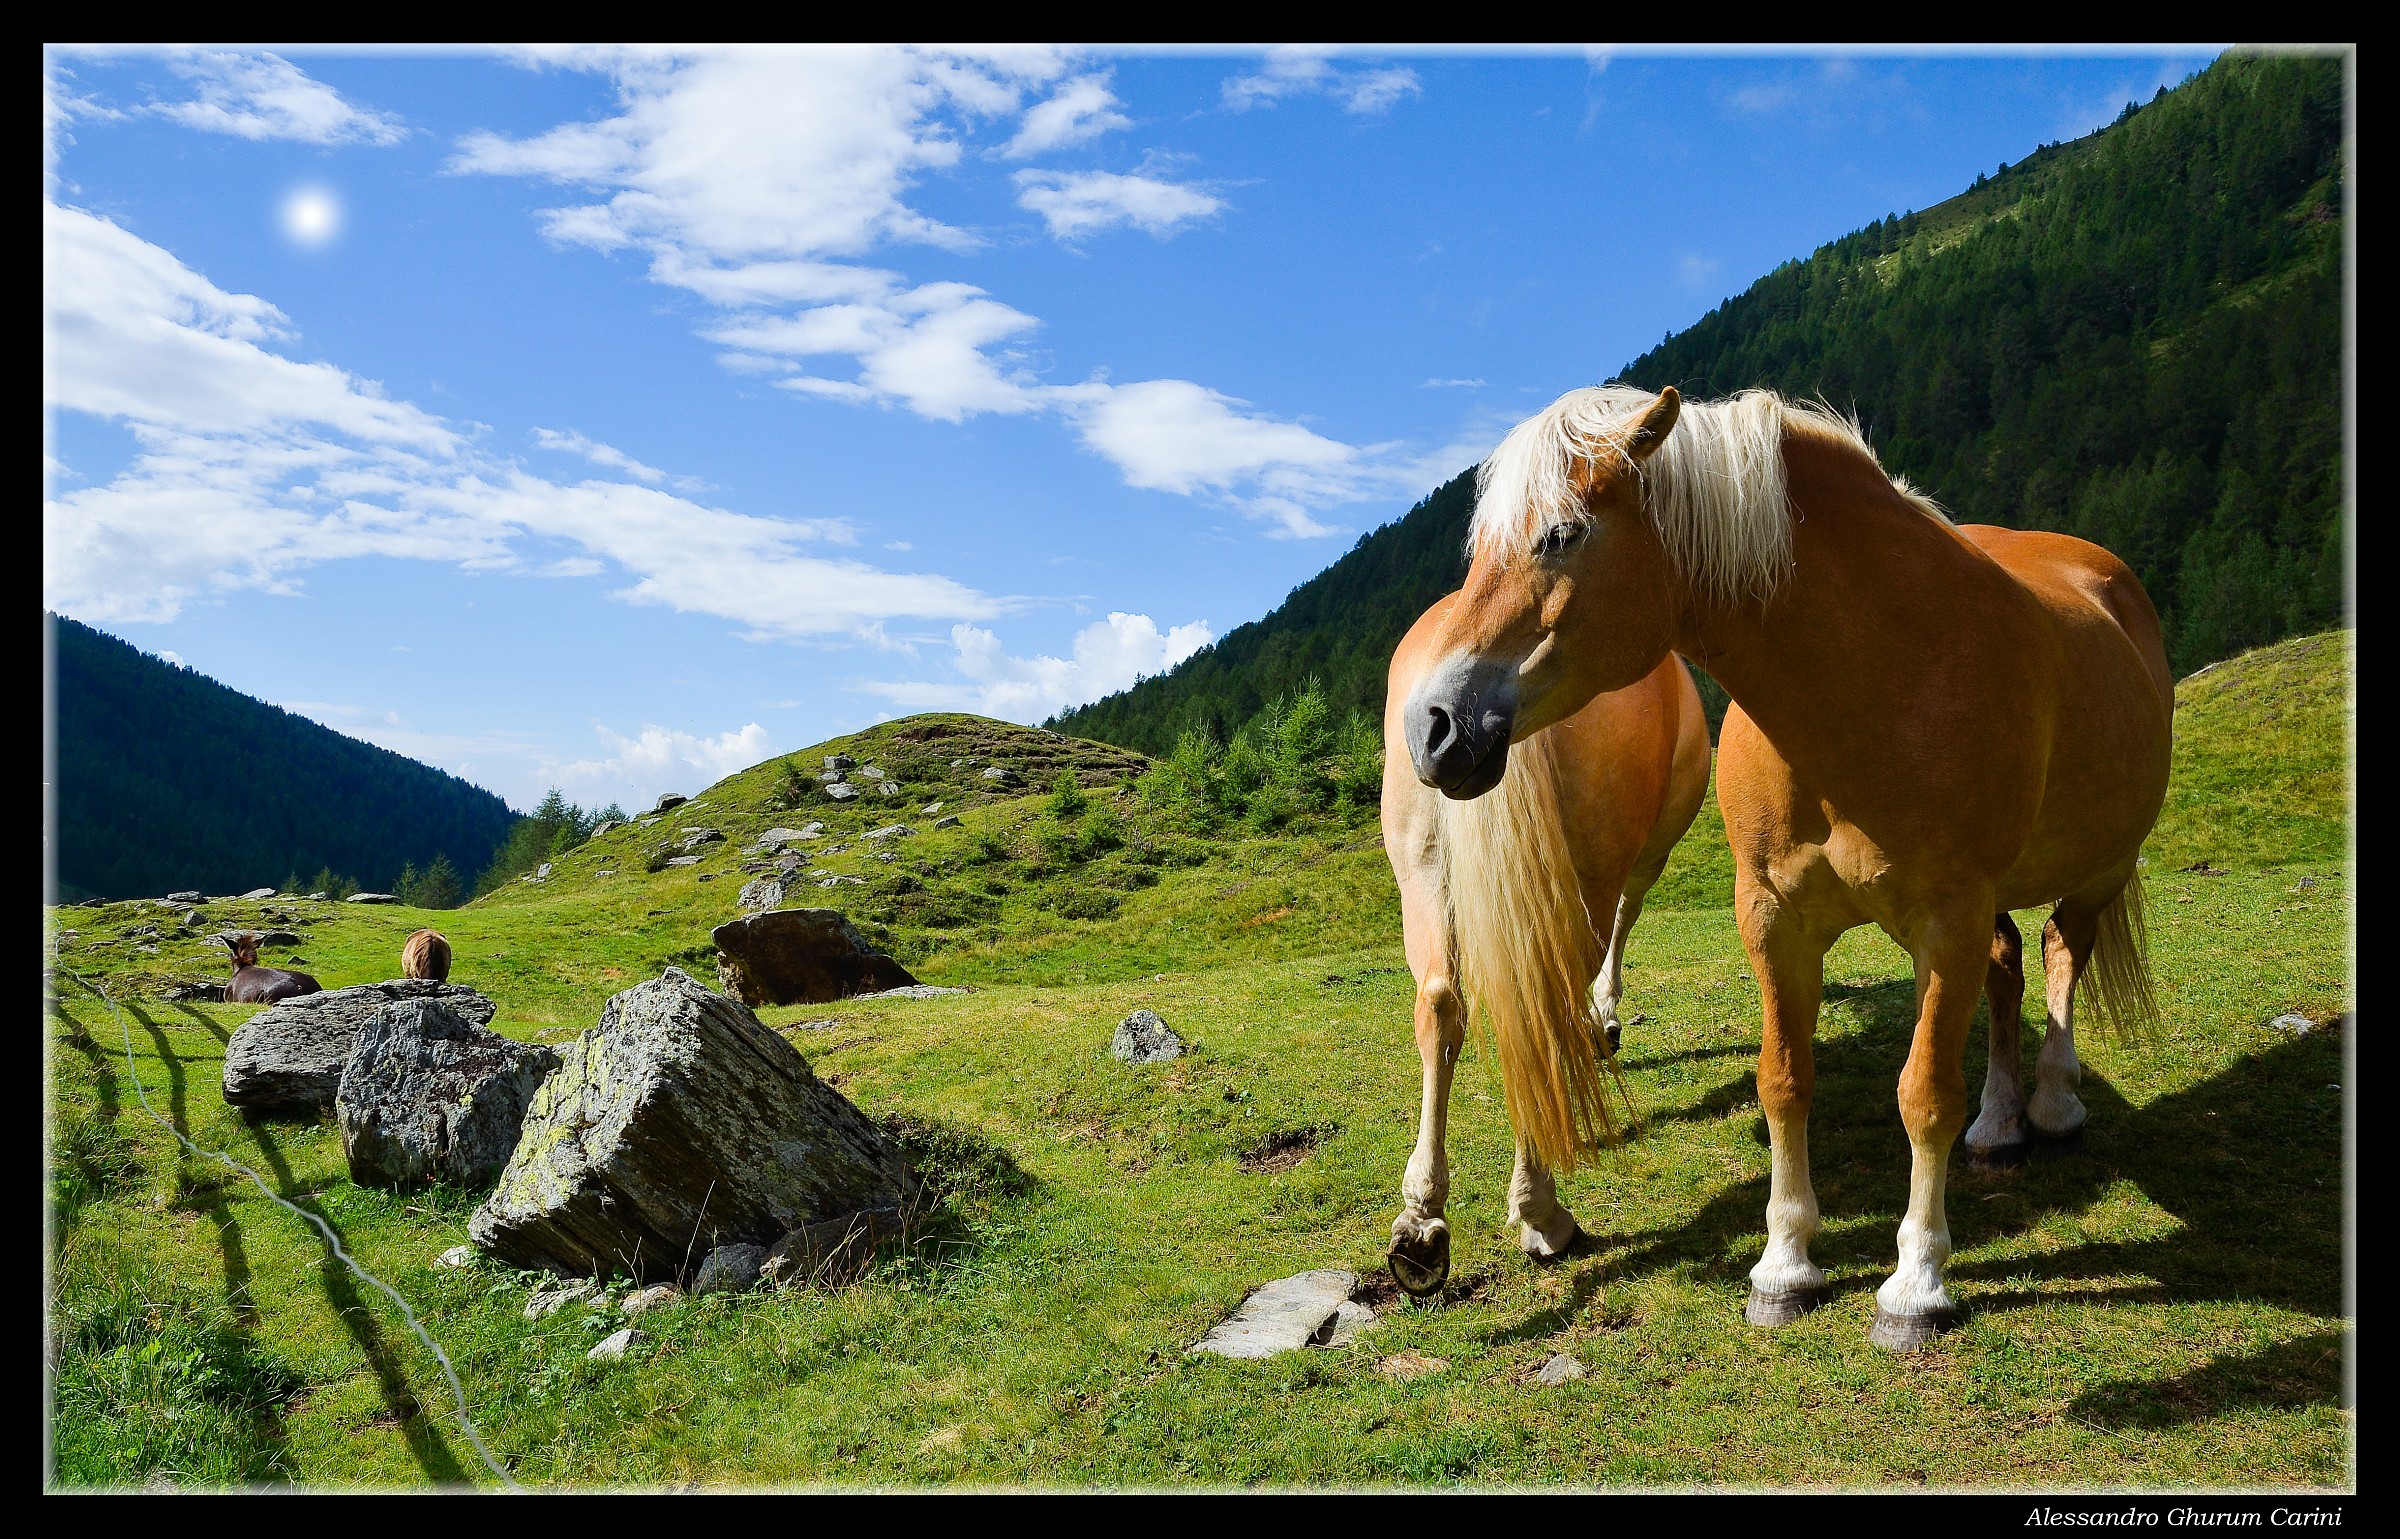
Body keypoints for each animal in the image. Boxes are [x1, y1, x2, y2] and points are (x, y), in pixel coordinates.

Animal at [1382, 594, 1711, 1296]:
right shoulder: (1647, 856)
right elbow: (1628, 918)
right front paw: (1604, 1017)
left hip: (1420, 871)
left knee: (1442, 1007)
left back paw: (1421, 1225)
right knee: (1540, 1014)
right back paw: (1542, 1213)